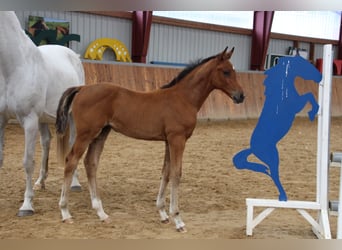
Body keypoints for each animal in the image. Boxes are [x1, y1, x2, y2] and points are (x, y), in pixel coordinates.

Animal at [0, 10, 84, 216]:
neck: (15, 65)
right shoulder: (1, 119)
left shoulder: (29, 121)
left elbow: (27, 161)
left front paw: (27, 205)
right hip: (43, 119)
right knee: (46, 142)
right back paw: (41, 182)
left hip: (70, 117)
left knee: (73, 144)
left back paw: (75, 183)